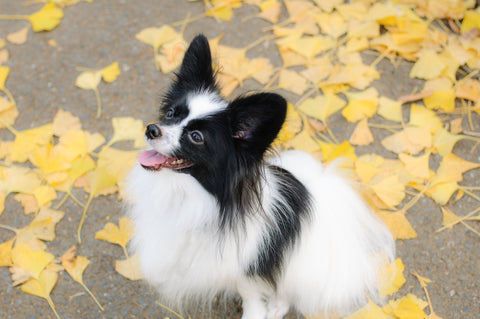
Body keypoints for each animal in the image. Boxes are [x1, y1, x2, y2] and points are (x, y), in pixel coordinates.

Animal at [126, 35, 394, 319]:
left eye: (196, 137)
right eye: (170, 114)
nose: (151, 129)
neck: (190, 192)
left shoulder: (248, 264)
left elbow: (251, 294)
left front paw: (257, 312)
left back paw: (276, 307)